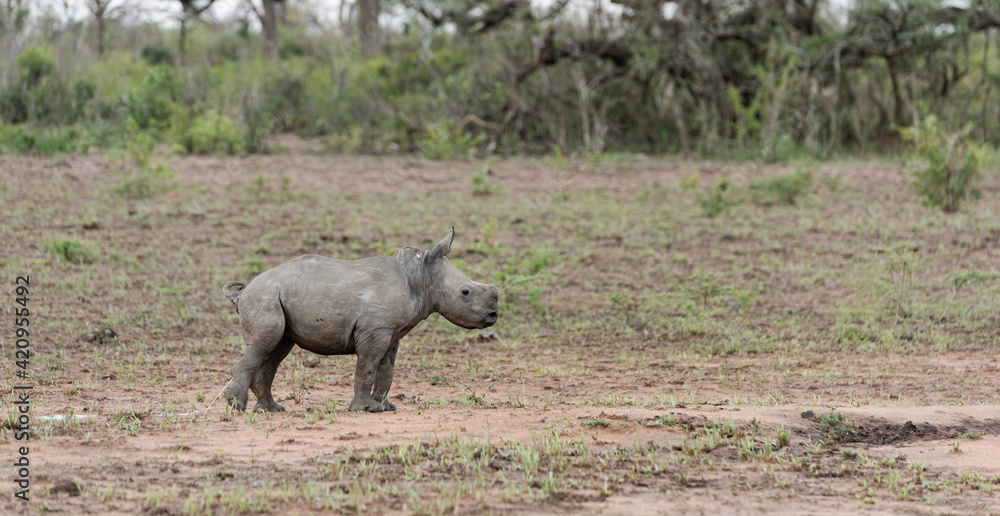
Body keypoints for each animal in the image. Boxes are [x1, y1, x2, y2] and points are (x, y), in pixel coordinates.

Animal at [221, 229, 499, 413]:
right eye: (465, 292)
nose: (494, 315)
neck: (422, 276)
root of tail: (242, 292)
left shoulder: (391, 331)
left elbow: (386, 370)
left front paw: (386, 407)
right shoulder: (375, 330)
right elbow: (367, 367)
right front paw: (366, 409)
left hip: (275, 297)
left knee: (277, 348)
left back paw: (271, 410)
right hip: (264, 296)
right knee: (265, 342)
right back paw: (237, 406)